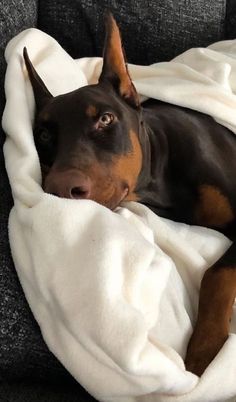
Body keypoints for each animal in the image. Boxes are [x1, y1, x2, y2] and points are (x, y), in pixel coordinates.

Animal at [23, 13, 236, 376]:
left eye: (105, 119)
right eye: (44, 134)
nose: (61, 189)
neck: (161, 175)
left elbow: (217, 273)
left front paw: (204, 351)